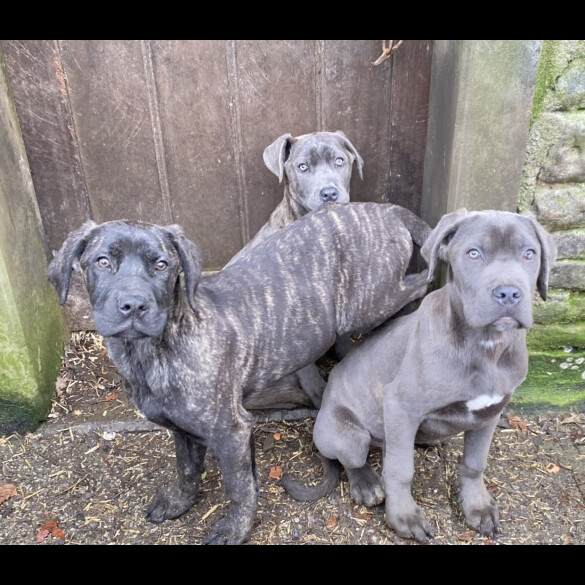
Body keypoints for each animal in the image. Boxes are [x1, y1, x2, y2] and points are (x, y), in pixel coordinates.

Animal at [45, 200, 428, 544]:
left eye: (162, 265)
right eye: (102, 261)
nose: (134, 305)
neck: (153, 350)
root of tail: (385, 209)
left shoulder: (231, 431)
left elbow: (239, 486)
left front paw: (235, 529)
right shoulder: (182, 429)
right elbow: (187, 469)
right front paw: (179, 502)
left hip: (366, 304)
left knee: (418, 284)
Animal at [282, 209, 556, 544]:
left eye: (529, 253)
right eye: (473, 253)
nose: (508, 293)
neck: (485, 347)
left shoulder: (490, 413)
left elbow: (475, 464)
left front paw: (477, 507)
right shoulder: (401, 406)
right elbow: (401, 471)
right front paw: (404, 517)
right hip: (345, 434)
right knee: (353, 459)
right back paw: (367, 484)